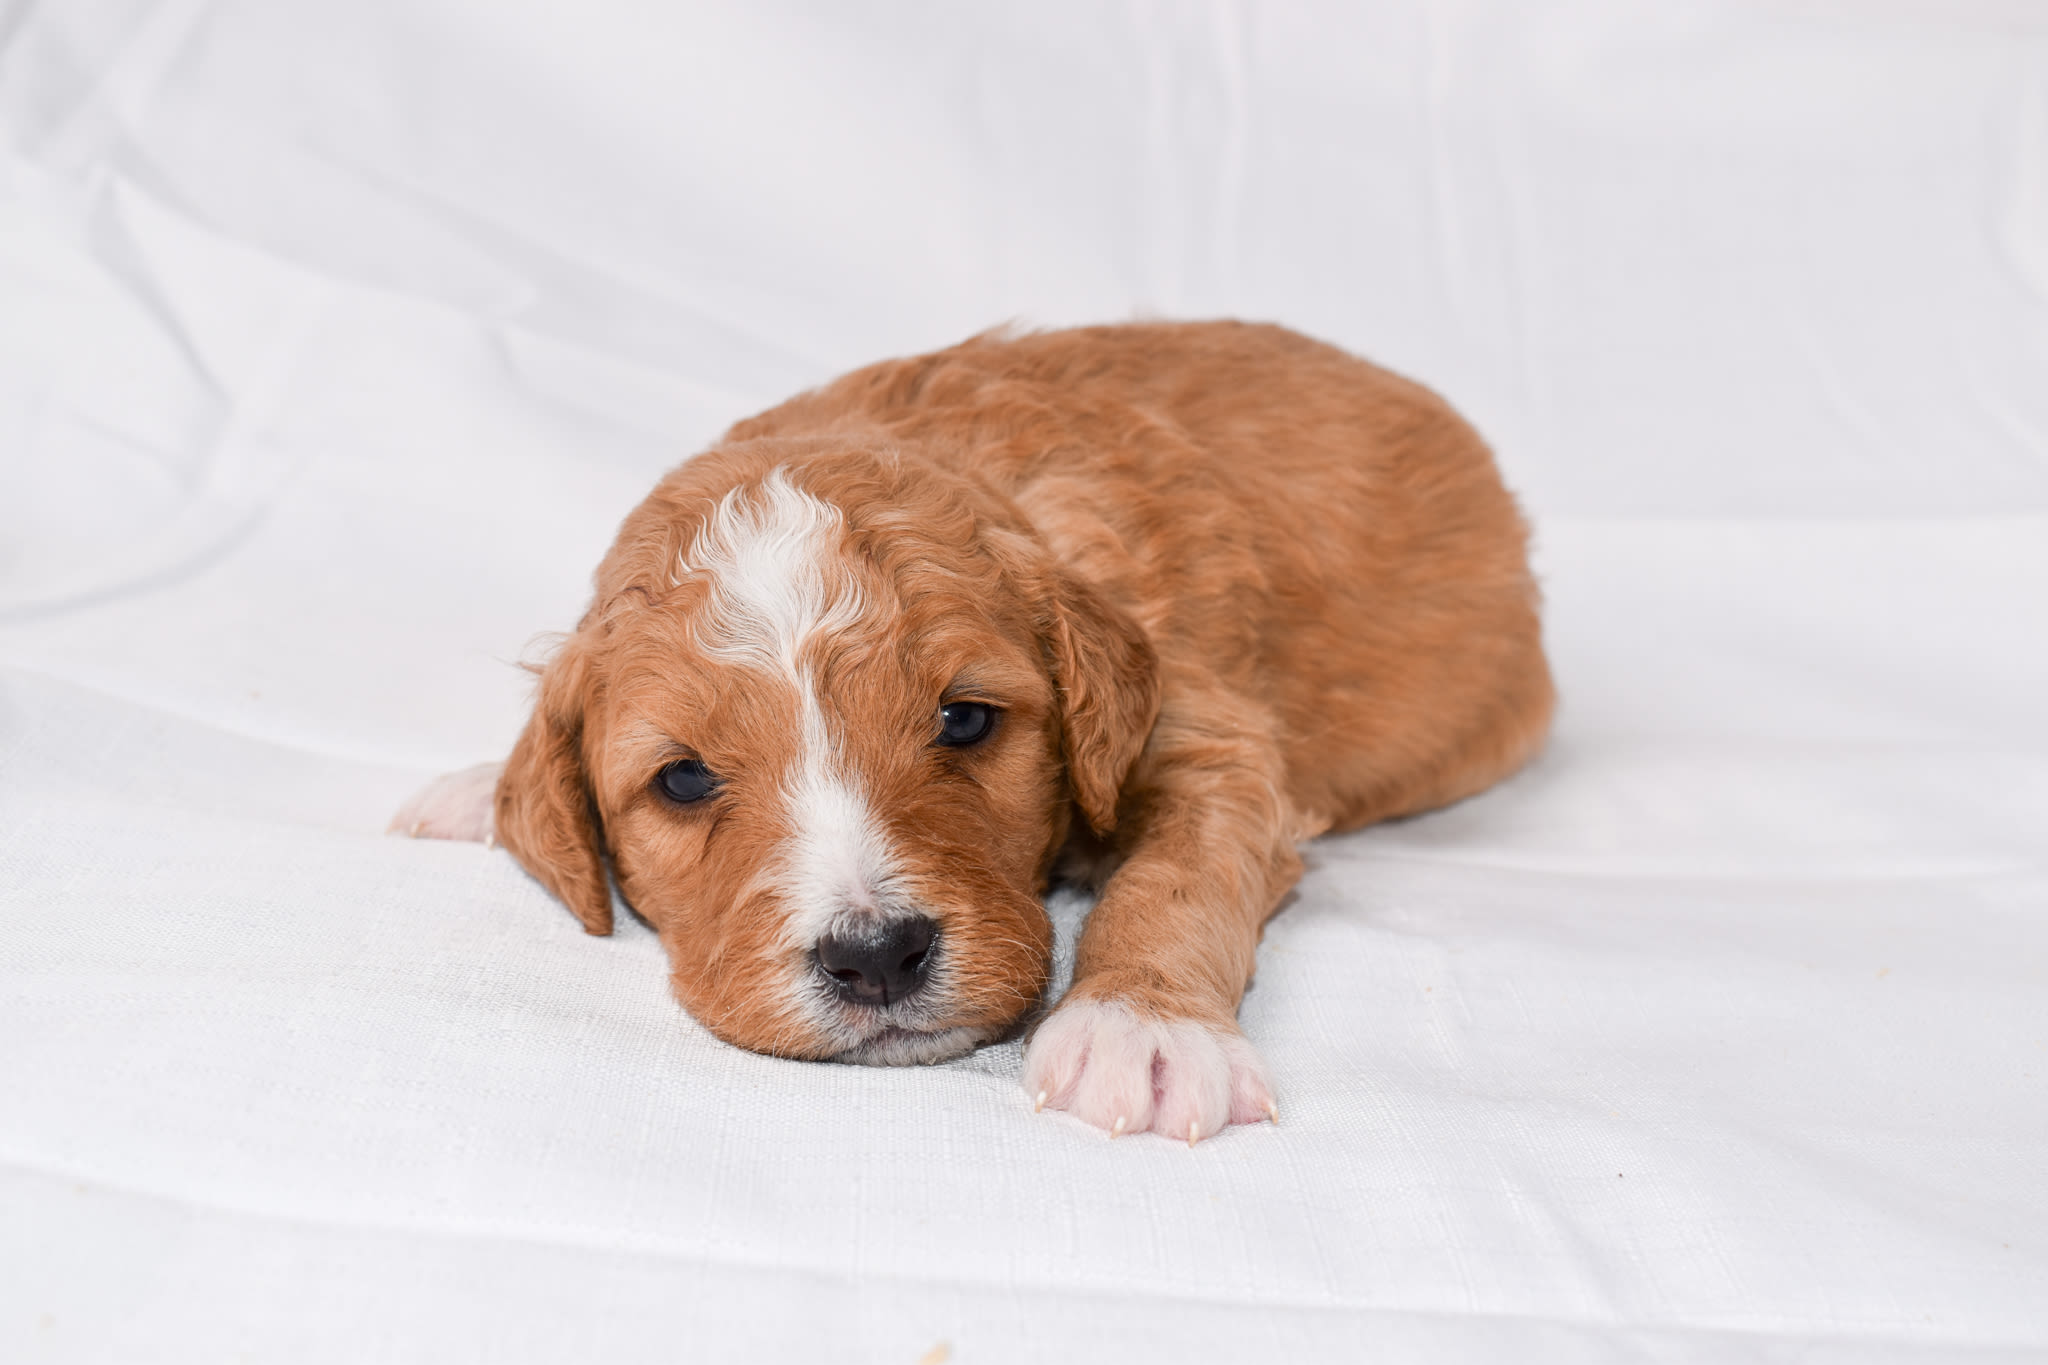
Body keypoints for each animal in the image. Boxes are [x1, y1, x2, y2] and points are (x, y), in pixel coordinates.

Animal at [391, 321, 1548, 1146]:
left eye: (963, 719)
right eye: (680, 780)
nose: (875, 959)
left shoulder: (1206, 736)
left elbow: (1177, 875)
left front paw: (1143, 1028)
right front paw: (487, 787)